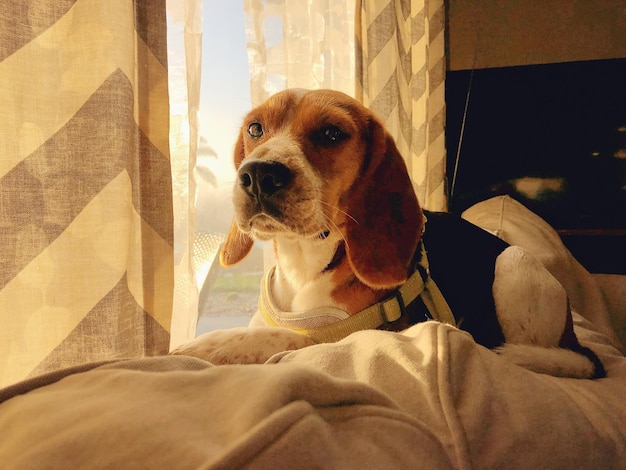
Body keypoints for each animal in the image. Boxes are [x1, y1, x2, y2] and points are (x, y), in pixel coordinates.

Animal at [173, 90, 604, 380]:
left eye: (331, 133)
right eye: (255, 128)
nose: (259, 174)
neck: (304, 263)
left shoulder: (350, 335)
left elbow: (282, 339)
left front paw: (202, 347)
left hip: (515, 261)